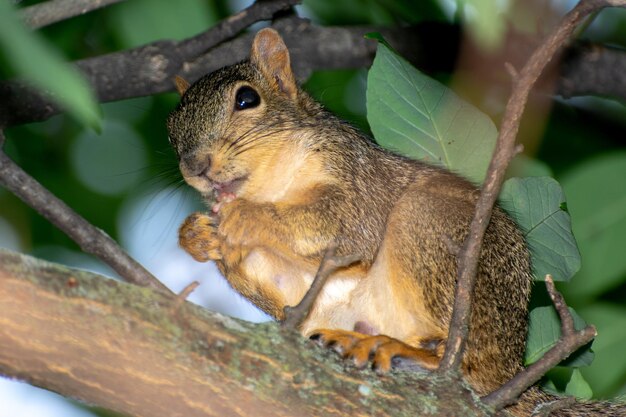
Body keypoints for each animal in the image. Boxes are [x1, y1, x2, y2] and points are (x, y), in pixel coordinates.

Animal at [166, 27, 624, 414]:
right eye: (171, 129)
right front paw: (198, 236)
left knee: (467, 367)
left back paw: (403, 351)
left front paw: (245, 218)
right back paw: (356, 340)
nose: (195, 166)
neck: (272, 186)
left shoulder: (357, 179)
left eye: (246, 99)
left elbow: (345, 227)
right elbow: (288, 285)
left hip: (431, 228)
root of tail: (515, 372)